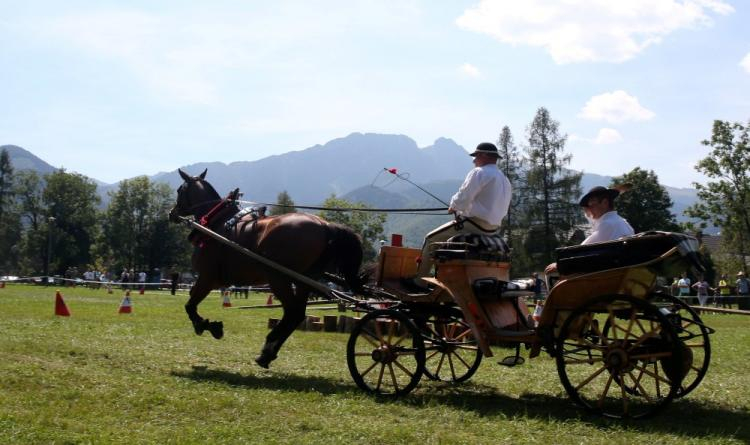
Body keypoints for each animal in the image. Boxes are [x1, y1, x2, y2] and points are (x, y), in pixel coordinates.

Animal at [169, 168, 362, 366]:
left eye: (179, 190)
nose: (172, 212)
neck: (215, 225)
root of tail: (325, 225)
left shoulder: (208, 277)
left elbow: (190, 305)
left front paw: (206, 325)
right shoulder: (213, 280)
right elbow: (191, 300)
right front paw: (208, 324)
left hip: (278, 278)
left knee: (292, 312)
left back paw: (268, 348)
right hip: (304, 281)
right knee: (297, 314)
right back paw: (269, 352)